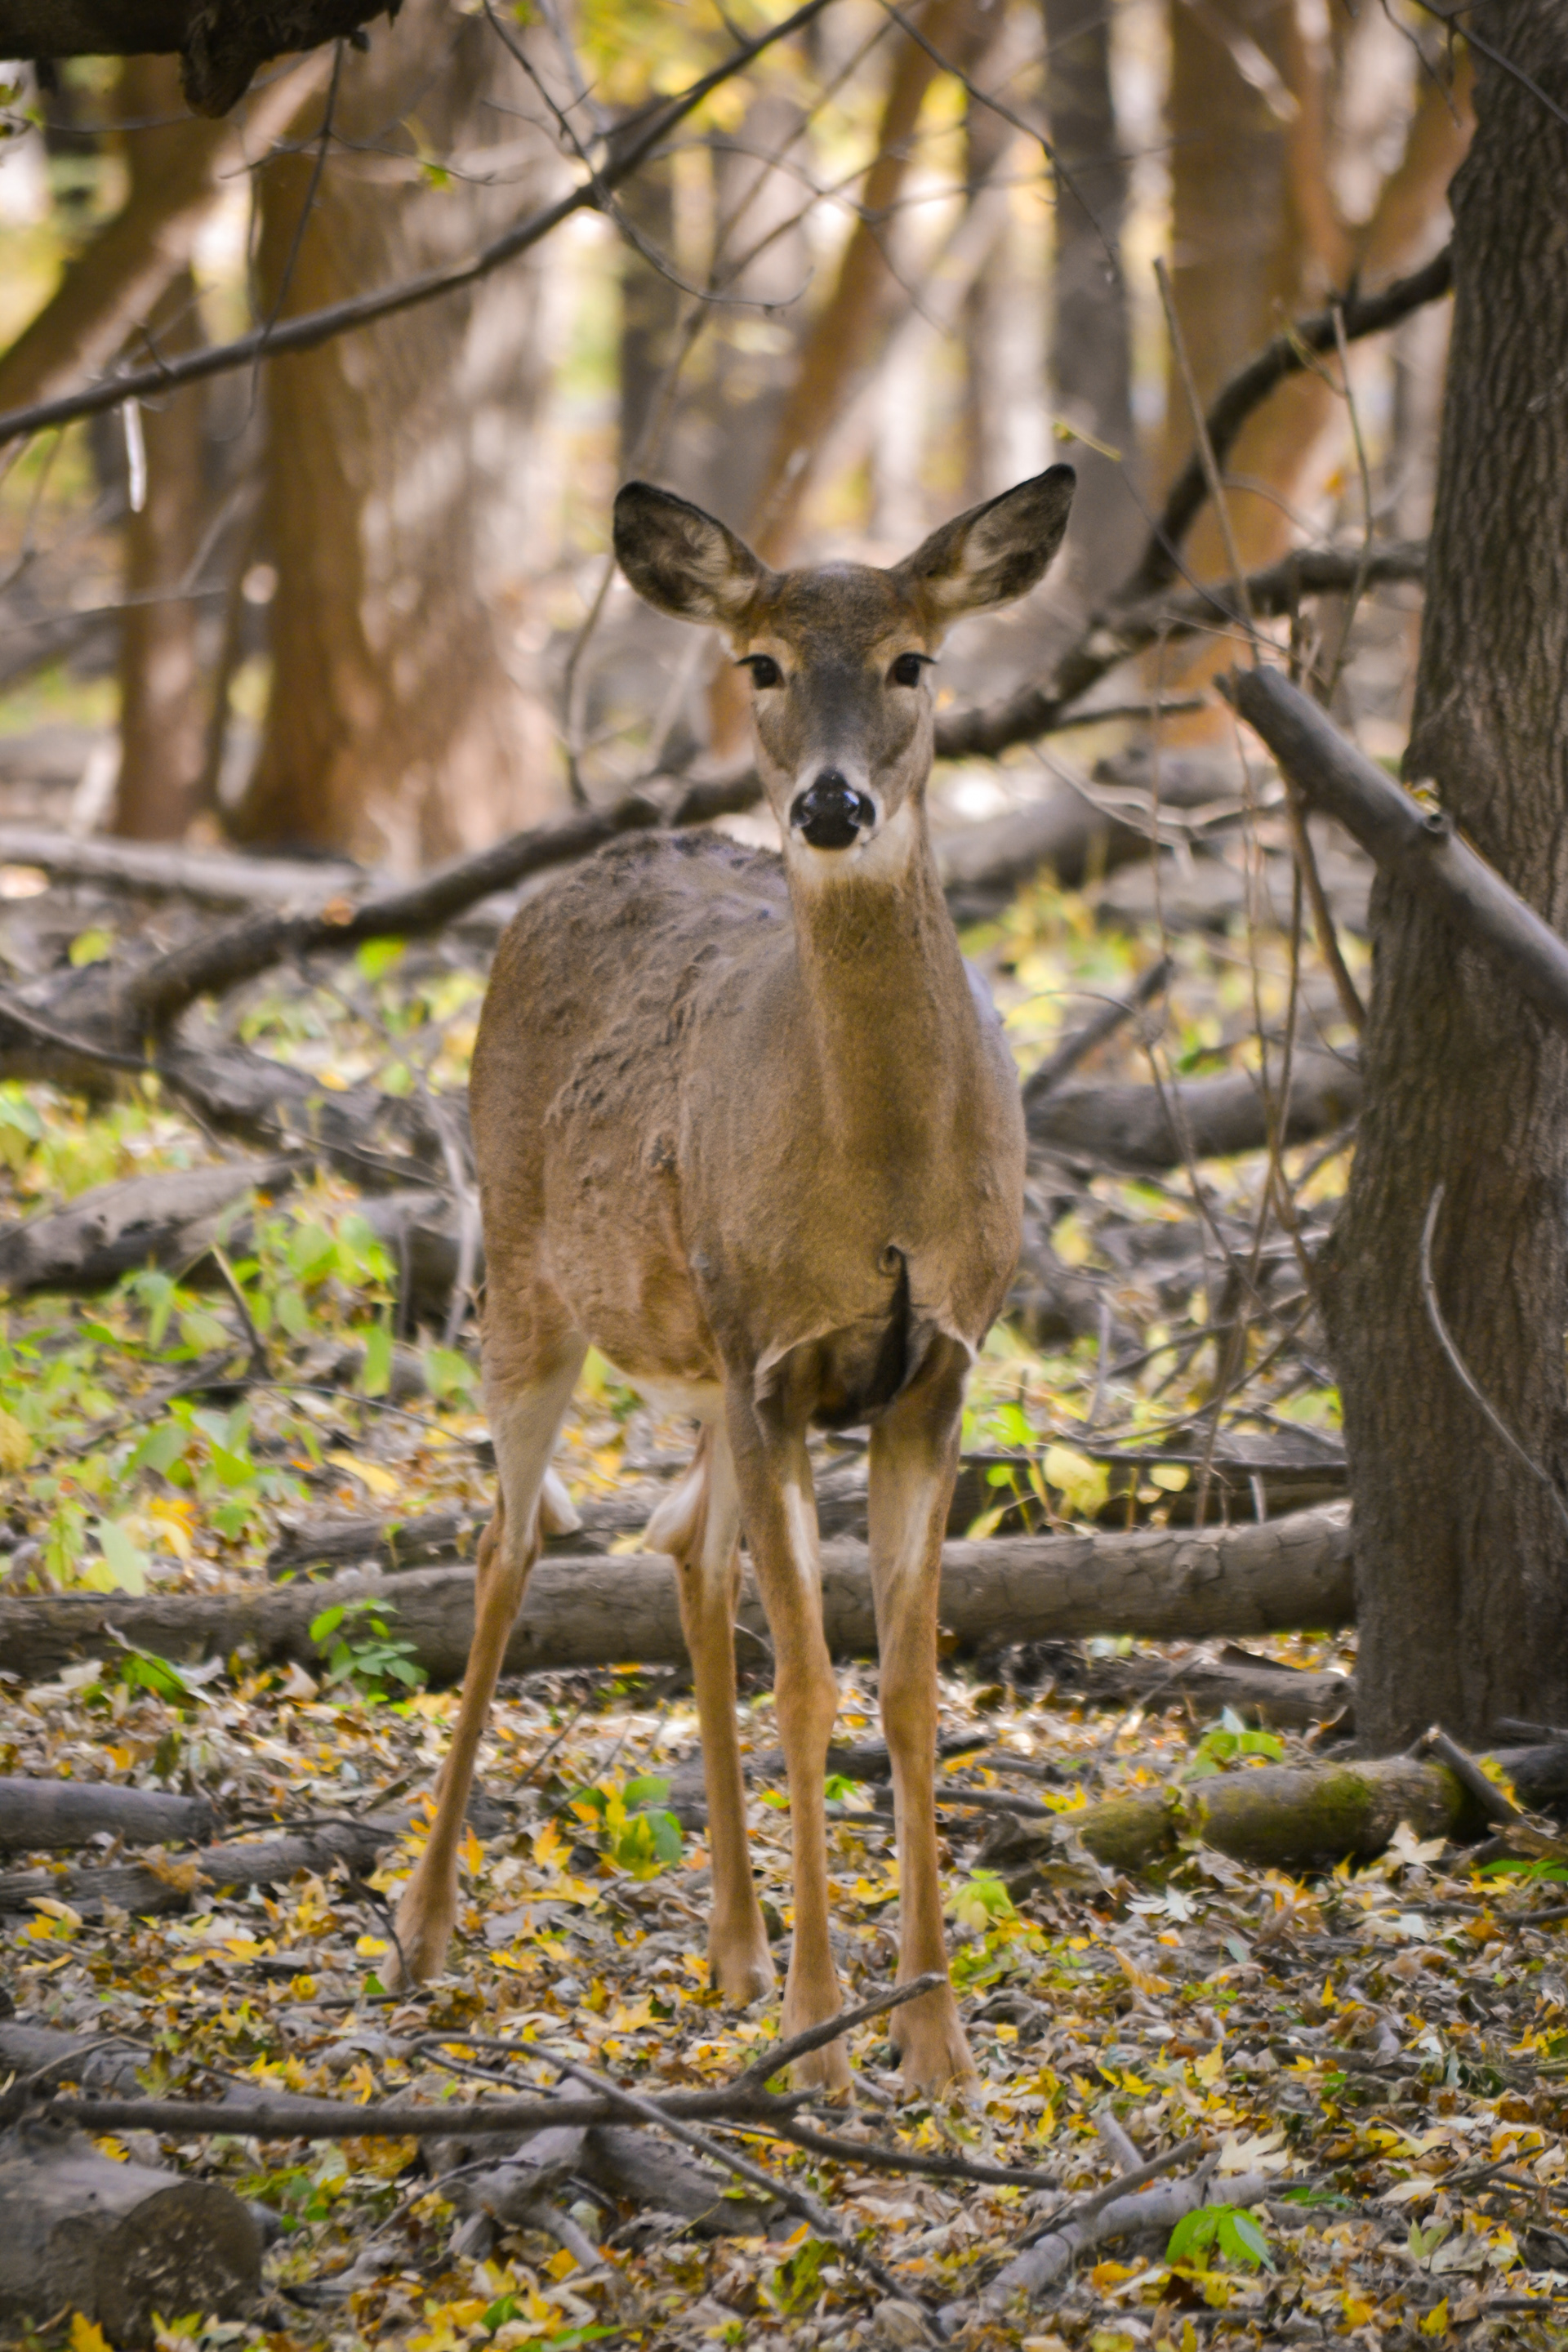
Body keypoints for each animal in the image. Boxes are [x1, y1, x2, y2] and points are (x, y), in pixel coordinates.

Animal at [388, 464, 1076, 2096]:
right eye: (760, 665)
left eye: (913, 660)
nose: (831, 804)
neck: (880, 1181)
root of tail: (582, 870)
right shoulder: (775, 1362)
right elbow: (811, 1684)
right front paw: (825, 2044)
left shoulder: (931, 1371)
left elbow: (910, 1691)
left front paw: (936, 2044)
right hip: (529, 1275)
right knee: (508, 1549)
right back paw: (427, 1931)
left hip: (693, 1344)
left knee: (683, 1553)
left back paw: (736, 1946)